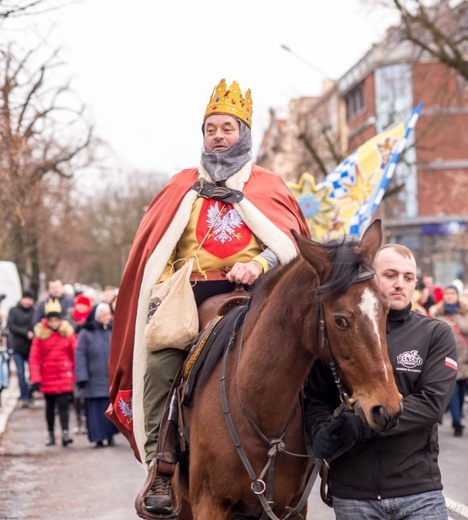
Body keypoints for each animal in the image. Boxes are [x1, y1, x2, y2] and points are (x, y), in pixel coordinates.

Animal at [178, 220, 402, 520]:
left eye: (386, 309)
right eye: (340, 320)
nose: (387, 408)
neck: (258, 409)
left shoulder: (291, 508)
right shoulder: (209, 503)